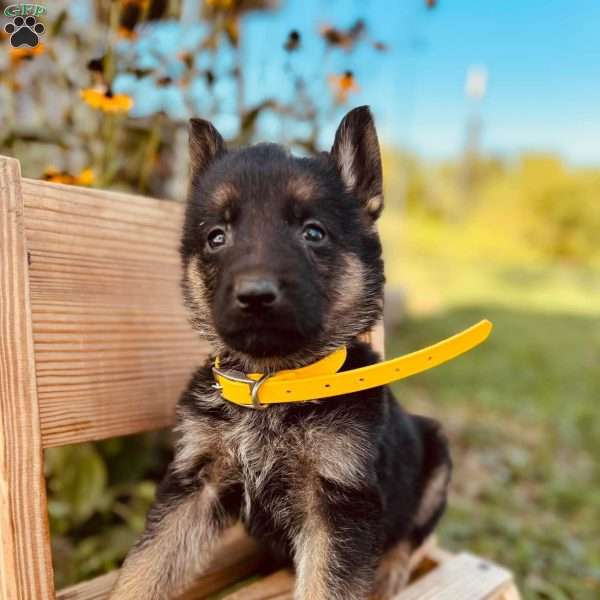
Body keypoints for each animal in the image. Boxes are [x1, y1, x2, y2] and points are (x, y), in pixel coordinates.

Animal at [111, 108, 450, 600]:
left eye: (313, 233)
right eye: (217, 237)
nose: (255, 295)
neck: (270, 386)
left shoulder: (337, 506)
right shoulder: (195, 486)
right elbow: (144, 568)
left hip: (438, 459)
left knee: (411, 534)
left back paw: (388, 572)